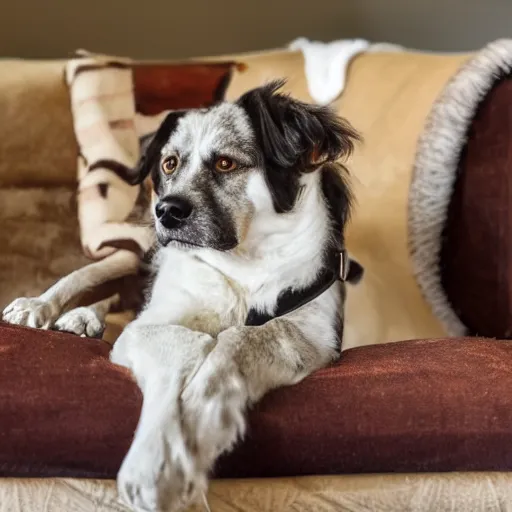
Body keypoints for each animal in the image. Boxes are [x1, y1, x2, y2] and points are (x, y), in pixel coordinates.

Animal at [4, 82, 364, 510]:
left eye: (225, 163)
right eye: (170, 164)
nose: (166, 211)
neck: (243, 263)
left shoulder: (313, 334)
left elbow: (241, 339)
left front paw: (202, 413)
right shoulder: (153, 322)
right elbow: (187, 343)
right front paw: (156, 463)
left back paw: (83, 319)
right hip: (129, 257)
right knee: (91, 282)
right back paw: (46, 309)